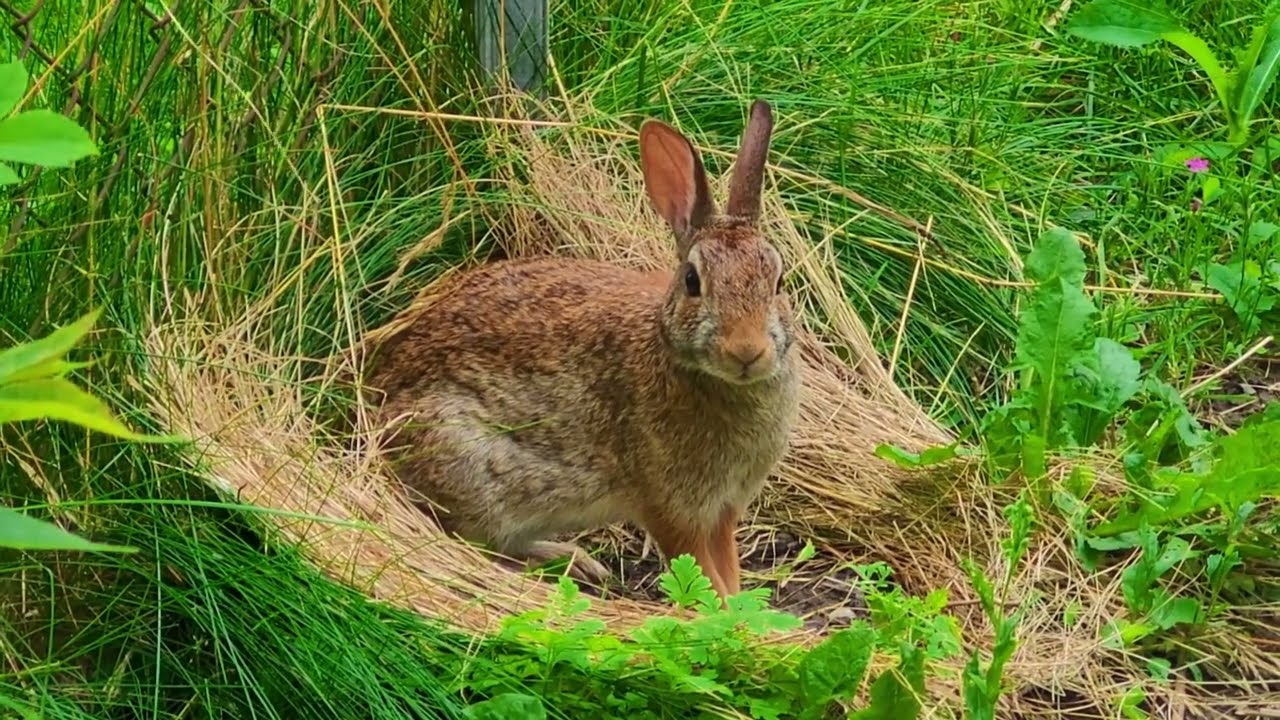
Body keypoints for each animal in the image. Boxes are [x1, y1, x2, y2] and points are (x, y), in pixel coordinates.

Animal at [366, 99, 800, 600]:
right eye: (693, 282)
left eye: (779, 281)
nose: (747, 351)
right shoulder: (670, 507)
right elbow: (700, 576)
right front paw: (728, 614)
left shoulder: (722, 510)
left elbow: (726, 569)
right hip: (470, 469)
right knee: (477, 542)